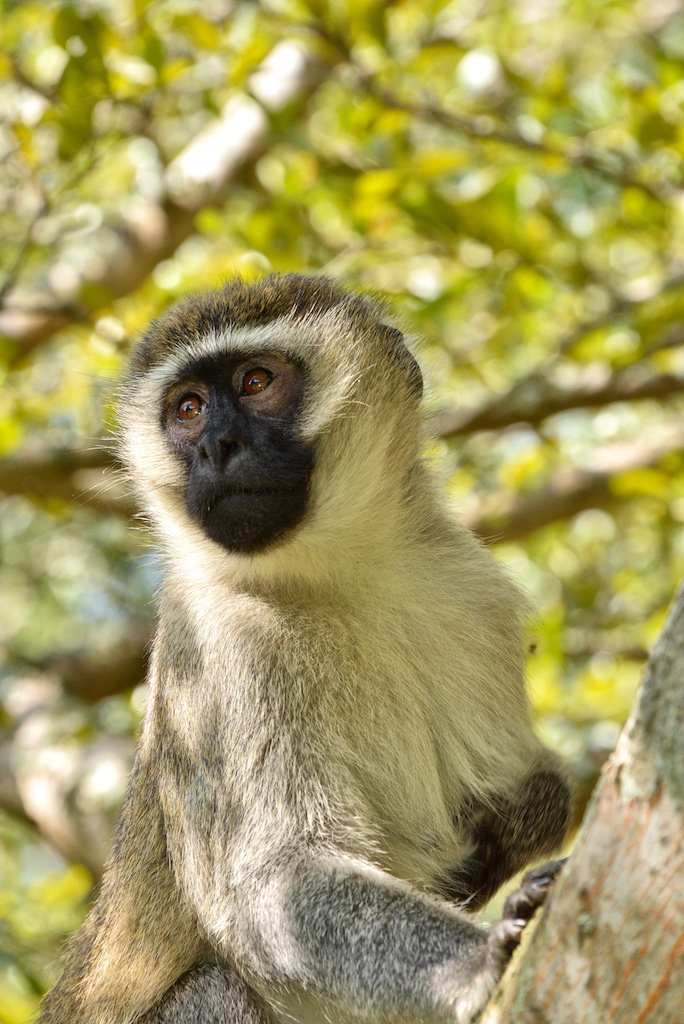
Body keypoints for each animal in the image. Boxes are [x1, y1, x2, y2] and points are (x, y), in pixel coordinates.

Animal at [38, 274, 571, 1024]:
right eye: (188, 409)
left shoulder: (475, 594)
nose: (218, 446)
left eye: (256, 381)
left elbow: (541, 788)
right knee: (219, 986)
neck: (339, 574)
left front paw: (502, 837)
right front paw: (479, 957)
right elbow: (271, 886)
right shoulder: (220, 645)